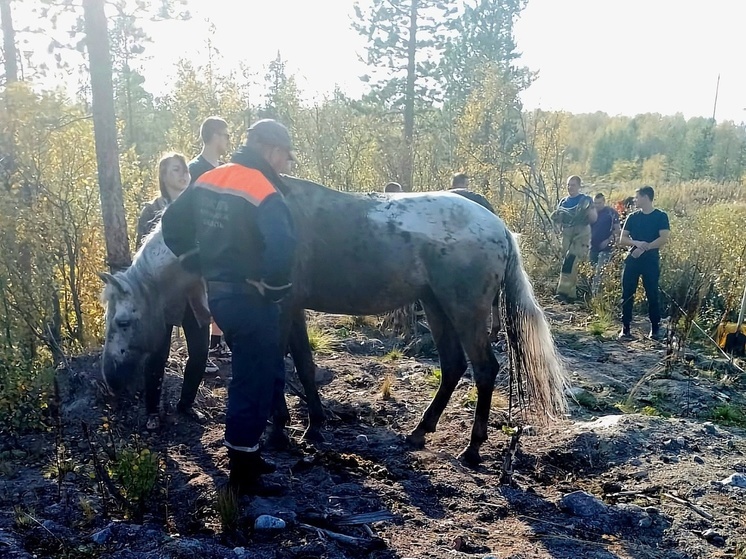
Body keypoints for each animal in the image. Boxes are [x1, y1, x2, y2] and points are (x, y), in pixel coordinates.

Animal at [99, 177, 564, 466]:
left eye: (122, 321)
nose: (110, 379)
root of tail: (498, 225)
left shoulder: (279, 309)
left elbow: (278, 367)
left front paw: (283, 431)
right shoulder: (292, 309)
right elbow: (302, 365)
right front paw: (312, 426)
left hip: (465, 311)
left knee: (484, 370)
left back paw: (472, 449)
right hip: (436, 307)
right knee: (453, 366)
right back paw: (419, 431)